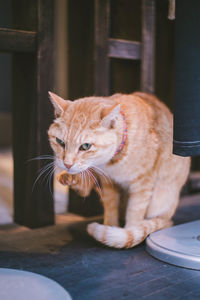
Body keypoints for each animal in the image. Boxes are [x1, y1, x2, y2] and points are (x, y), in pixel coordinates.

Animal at [47, 91, 190, 248]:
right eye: (60, 142)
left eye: (85, 146)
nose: (67, 164)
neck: (113, 162)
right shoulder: (108, 181)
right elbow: (110, 207)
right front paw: (110, 225)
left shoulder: (143, 183)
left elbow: (134, 212)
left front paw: (128, 232)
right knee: (84, 188)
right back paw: (70, 178)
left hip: (161, 202)